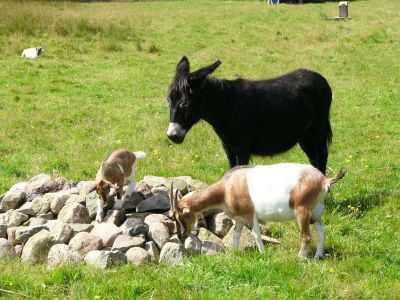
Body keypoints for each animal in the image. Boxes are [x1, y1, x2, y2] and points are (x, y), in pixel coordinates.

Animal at [167, 163, 346, 258]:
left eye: (179, 216)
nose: (181, 236)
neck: (228, 187)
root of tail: (324, 180)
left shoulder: (250, 215)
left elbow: (256, 235)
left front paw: (263, 253)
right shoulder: (239, 219)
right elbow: (236, 236)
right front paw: (234, 254)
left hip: (302, 212)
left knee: (307, 236)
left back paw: (300, 258)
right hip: (316, 214)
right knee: (322, 232)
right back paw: (318, 256)